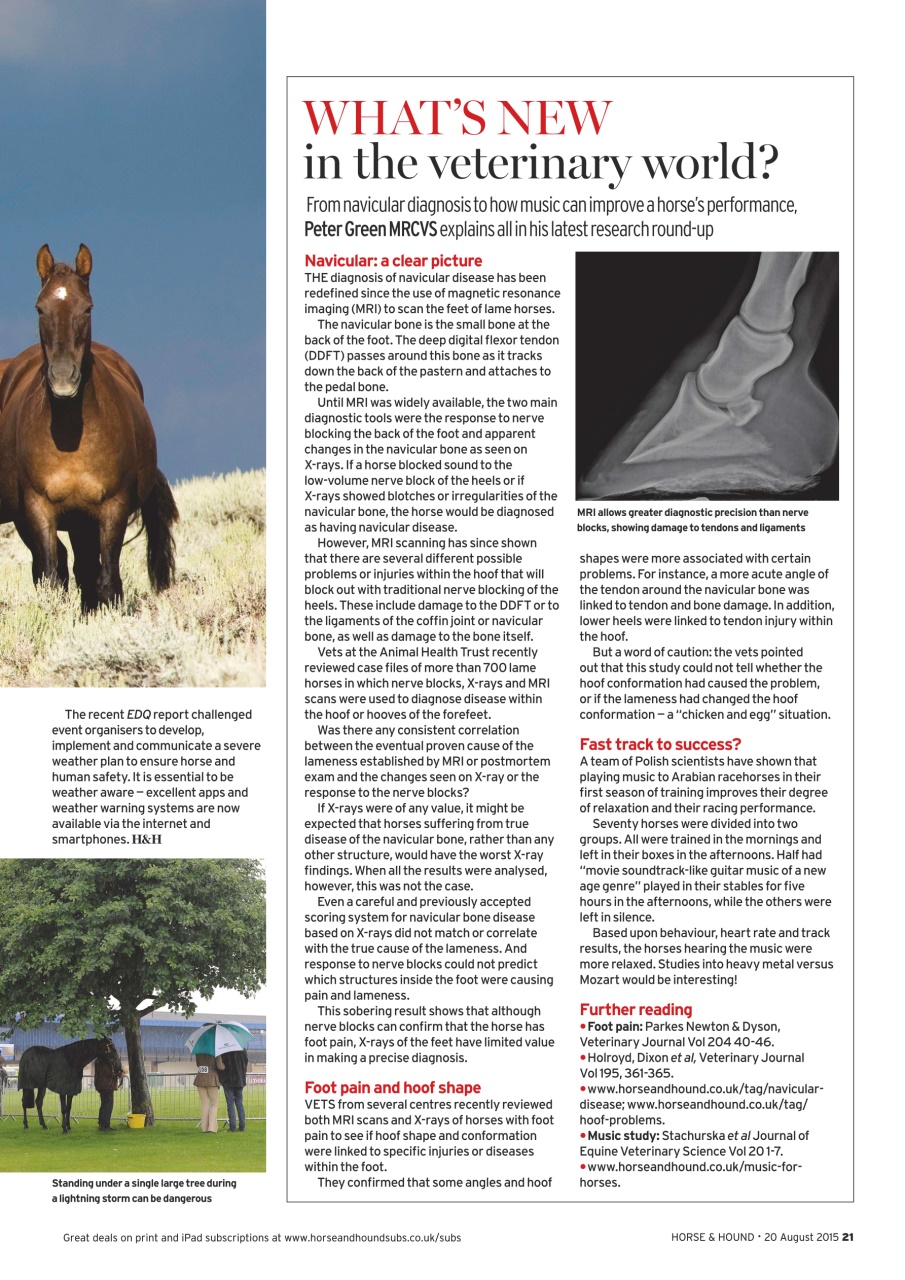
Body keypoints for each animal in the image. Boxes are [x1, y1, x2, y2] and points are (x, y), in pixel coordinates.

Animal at [0, 244, 178, 611]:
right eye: (40, 307)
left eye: (87, 307)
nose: (63, 378)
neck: (72, 436)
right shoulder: (38, 510)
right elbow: (52, 578)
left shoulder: (113, 509)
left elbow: (107, 582)